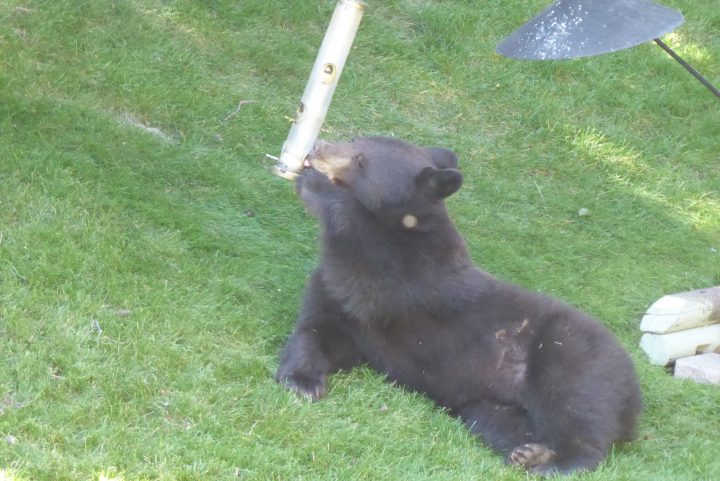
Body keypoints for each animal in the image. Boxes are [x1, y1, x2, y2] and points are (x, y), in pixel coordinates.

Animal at [276, 135, 640, 472]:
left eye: (361, 160)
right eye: (355, 139)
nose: (318, 147)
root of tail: (634, 400)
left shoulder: (405, 277)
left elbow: (368, 243)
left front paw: (316, 184)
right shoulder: (340, 298)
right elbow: (318, 330)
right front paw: (303, 381)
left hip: (574, 358)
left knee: (578, 411)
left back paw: (559, 464)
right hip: (489, 401)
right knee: (500, 422)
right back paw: (531, 452)